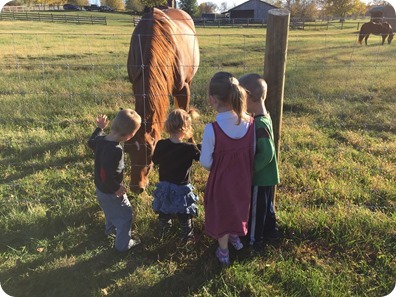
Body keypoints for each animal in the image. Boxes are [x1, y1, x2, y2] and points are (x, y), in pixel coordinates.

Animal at [127, 7, 200, 192]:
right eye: (127, 150)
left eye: (150, 152)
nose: (136, 187)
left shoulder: (183, 89)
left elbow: (185, 116)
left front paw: (190, 142)